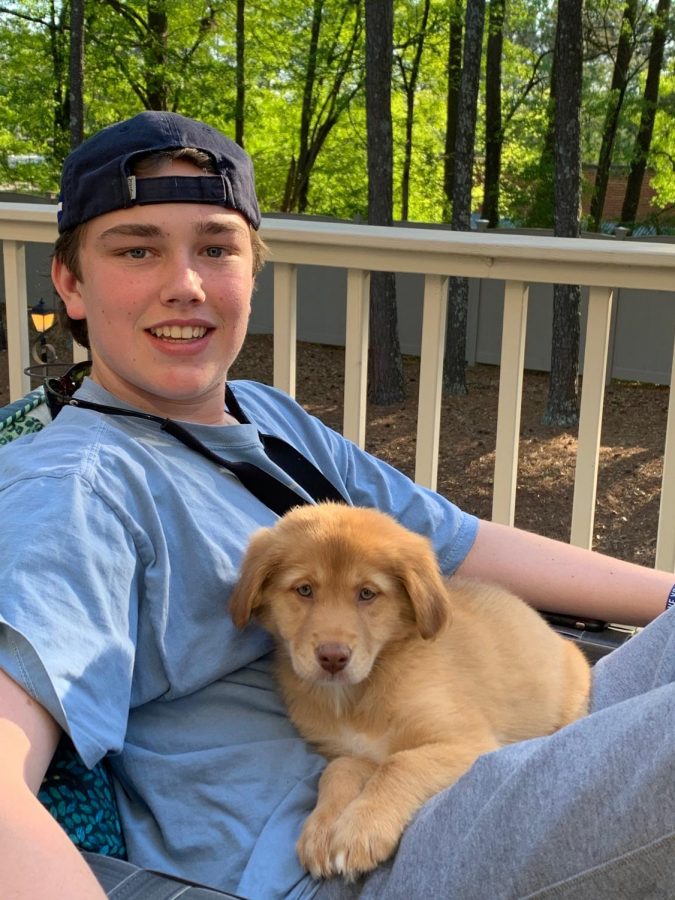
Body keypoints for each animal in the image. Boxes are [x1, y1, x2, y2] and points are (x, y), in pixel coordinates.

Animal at [228, 502, 592, 884]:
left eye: (367, 593)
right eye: (304, 590)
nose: (333, 658)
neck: (357, 695)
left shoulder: (468, 744)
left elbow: (400, 762)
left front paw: (361, 829)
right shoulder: (351, 751)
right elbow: (340, 768)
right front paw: (323, 829)